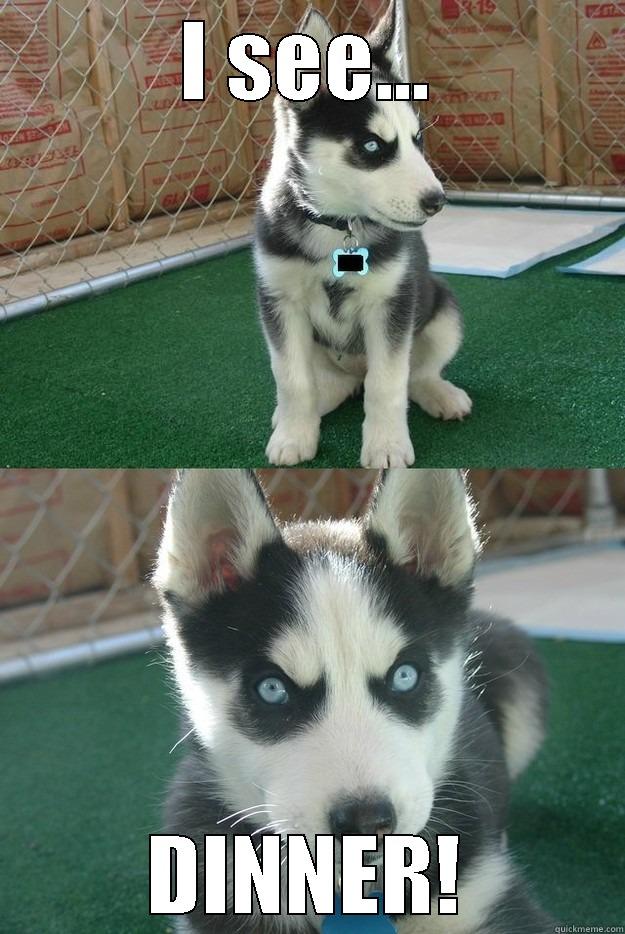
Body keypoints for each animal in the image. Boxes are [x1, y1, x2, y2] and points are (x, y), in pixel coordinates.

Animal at [256, 0, 470, 468]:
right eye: (372, 146)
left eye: (417, 139)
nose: (437, 201)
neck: (338, 226)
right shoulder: (280, 302)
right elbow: (292, 379)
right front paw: (294, 435)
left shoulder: (391, 304)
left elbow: (387, 383)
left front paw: (386, 445)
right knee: (328, 384)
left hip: (443, 310)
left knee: (414, 374)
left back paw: (440, 393)